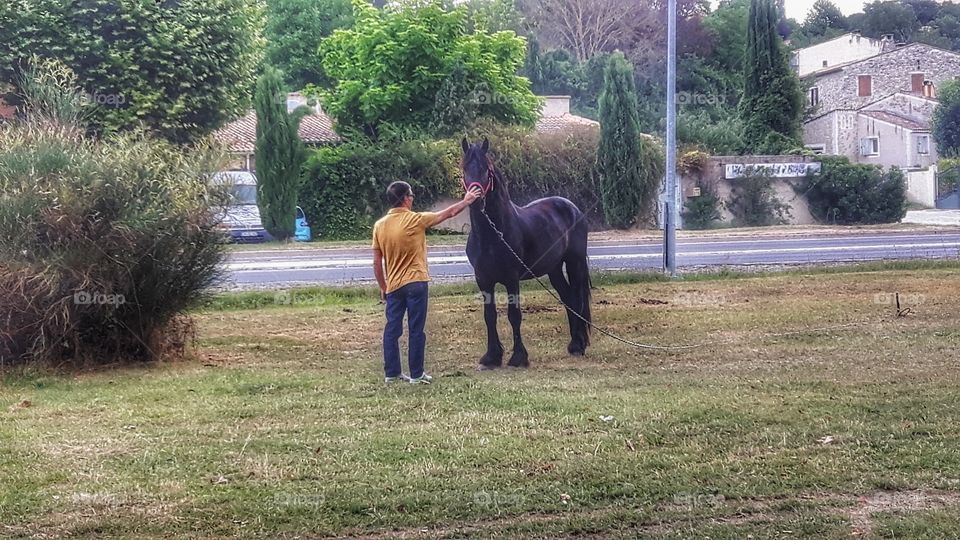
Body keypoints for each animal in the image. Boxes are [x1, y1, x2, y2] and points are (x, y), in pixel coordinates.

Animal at [461, 137, 592, 370]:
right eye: (464, 167)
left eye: (487, 169)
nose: (474, 199)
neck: (492, 234)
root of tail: (573, 208)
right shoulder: (483, 280)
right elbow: (489, 315)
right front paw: (491, 357)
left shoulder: (512, 279)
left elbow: (514, 315)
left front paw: (518, 357)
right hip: (553, 269)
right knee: (568, 298)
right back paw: (573, 344)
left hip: (574, 262)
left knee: (577, 300)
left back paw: (579, 345)